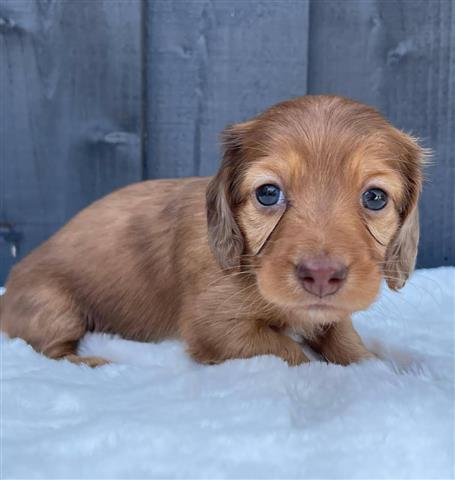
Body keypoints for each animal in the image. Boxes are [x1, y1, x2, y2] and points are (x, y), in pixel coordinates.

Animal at [0, 95, 424, 366]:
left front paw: (373, 364)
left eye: (375, 198)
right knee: (51, 350)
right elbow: (292, 353)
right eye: (268, 193)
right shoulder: (216, 327)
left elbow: (347, 341)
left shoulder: (330, 316)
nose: (321, 276)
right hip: (54, 307)